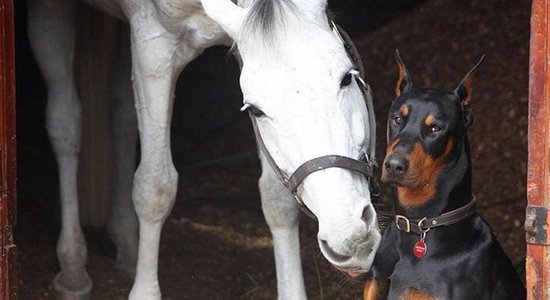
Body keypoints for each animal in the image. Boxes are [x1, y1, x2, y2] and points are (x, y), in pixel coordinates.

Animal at [28, 0, 382, 298]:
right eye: (255, 110)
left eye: (346, 78)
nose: (349, 236)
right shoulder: (153, 45)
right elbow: (154, 188)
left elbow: (277, 199)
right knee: (65, 123)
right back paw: (73, 268)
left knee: (122, 115)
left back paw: (126, 245)